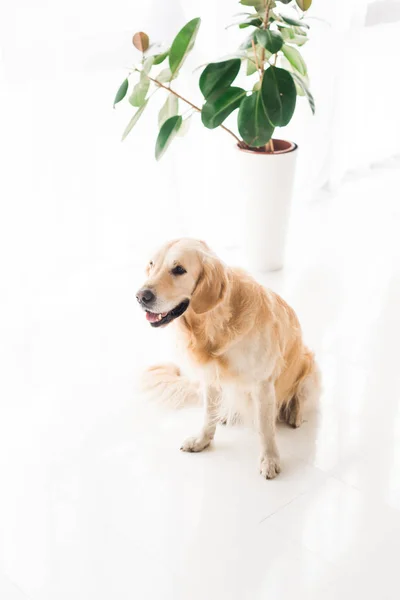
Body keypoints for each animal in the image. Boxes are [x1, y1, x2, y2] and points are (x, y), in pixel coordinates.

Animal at [138, 239, 318, 478]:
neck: (213, 324)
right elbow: (207, 415)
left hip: (310, 367)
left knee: (300, 396)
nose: (141, 296)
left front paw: (269, 459)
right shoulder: (210, 378)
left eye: (179, 270)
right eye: (151, 265)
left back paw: (294, 414)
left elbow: (265, 429)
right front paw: (202, 440)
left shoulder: (263, 384)